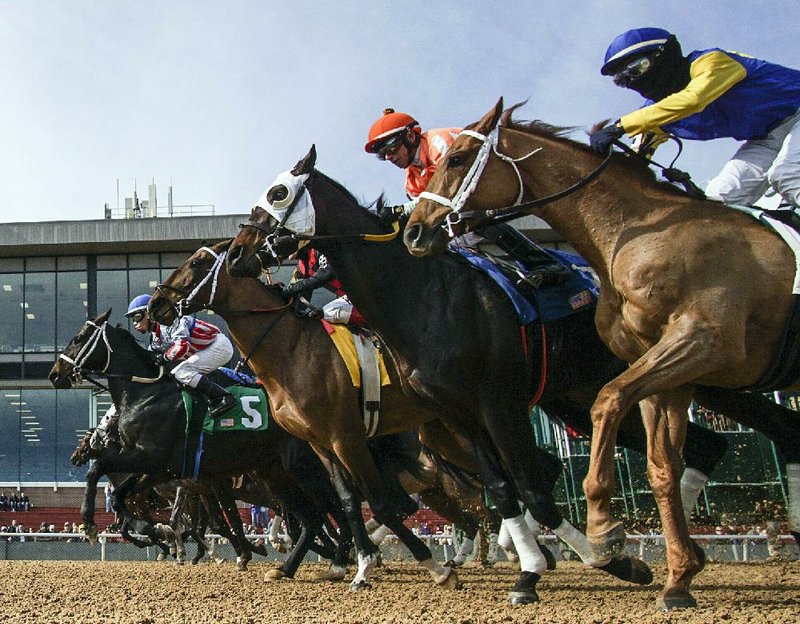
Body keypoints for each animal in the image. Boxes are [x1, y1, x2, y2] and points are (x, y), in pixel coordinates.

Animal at [227, 145, 800, 600]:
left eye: (278, 192)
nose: (235, 253)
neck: (424, 296)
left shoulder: (489, 404)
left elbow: (518, 486)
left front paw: (593, 557)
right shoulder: (447, 415)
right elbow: (499, 489)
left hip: (700, 367)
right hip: (582, 397)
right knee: (709, 444)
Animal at [404, 98, 800, 608]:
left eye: (455, 159)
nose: (415, 231)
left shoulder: (702, 340)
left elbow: (585, 430)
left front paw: (600, 536)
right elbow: (656, 463)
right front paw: (669, 570)